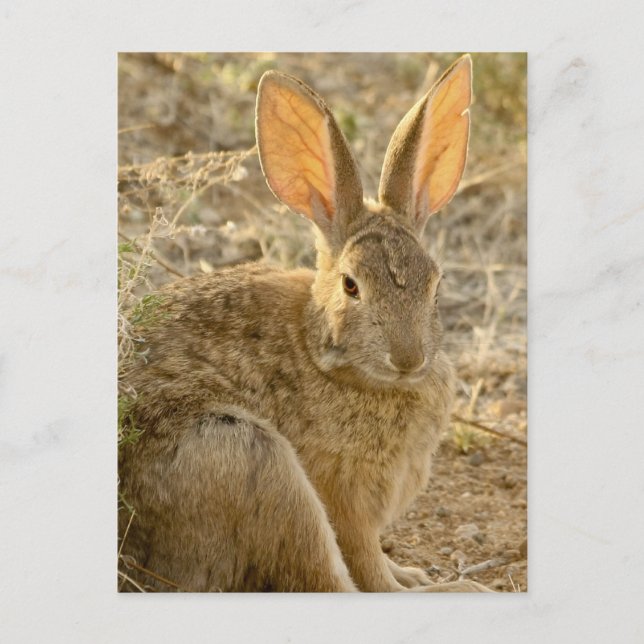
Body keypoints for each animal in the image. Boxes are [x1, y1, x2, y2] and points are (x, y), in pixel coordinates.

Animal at [118, 54, 491, 593]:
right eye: (351, 286)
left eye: (436, 284)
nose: (408, 358)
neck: (326, 355)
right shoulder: (346, 502)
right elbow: (370, 568)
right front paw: (420, 583)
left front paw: (413, 572)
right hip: (251, 456)